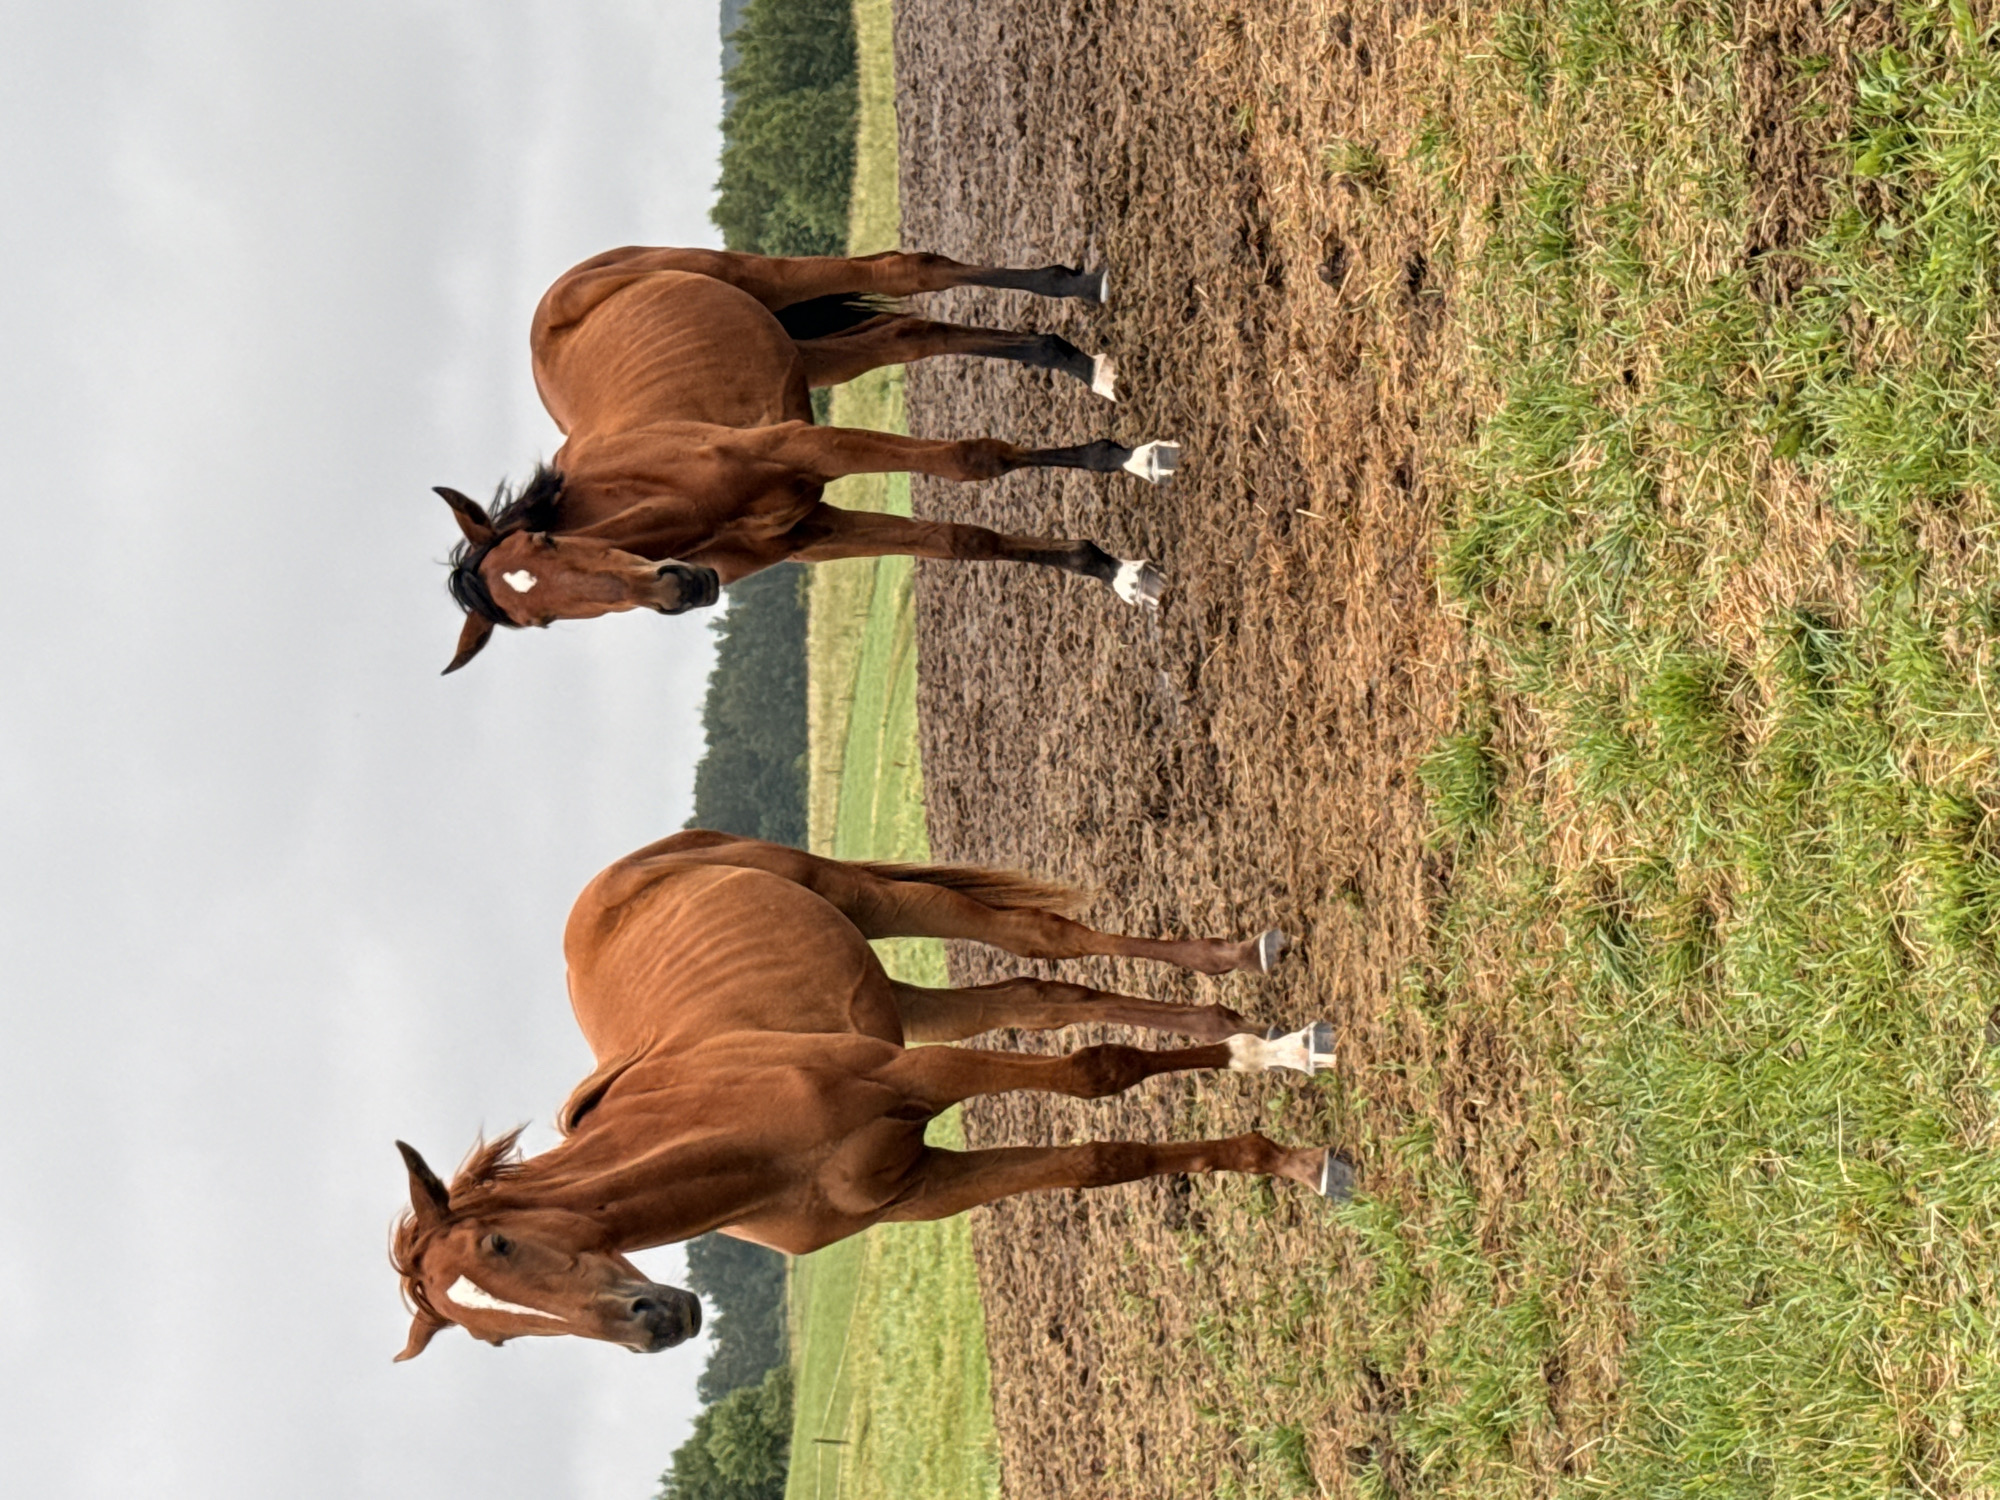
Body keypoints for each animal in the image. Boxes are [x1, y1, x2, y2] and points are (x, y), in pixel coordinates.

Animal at [389, 831, 1347, 1358]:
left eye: (501, 1245)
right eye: (497, 1335)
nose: (653, 1324)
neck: (742, 1137)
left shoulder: (916, 1077)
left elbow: (1097, 1073)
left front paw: (1282, 1074)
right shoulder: (923, 1188)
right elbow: (1101, 1161)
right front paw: (1285, 1151)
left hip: (861, 896)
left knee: (1046, 939)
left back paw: (1242, 967)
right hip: (897, 999)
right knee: (1042, 994)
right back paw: (1231, 1006)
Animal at [434, 245, 1181, 674]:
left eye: (548, 540)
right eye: (540, 621)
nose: (680, 589)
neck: (670, 495)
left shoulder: (808, 447)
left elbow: (971, 461)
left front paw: (1135, 458)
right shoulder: (819, 532)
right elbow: (962, 540)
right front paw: (1116, 570)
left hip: (762, 279)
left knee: (907, 269)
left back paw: (1083, 291)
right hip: (815, 353)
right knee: (911, 334)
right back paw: (1077, 361)